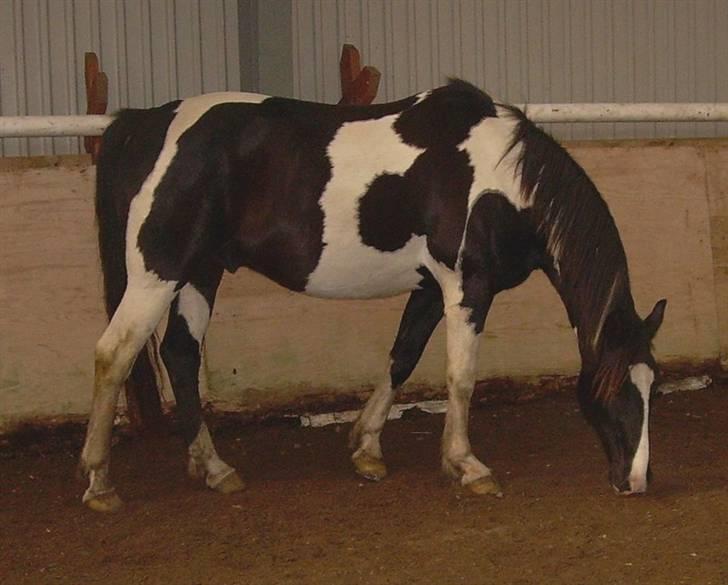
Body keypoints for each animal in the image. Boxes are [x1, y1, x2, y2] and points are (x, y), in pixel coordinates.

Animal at [81, 80, 664, 508]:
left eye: (652, 386)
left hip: (199, 272)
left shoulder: (430, 287)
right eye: (614, 388)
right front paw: (466, 465)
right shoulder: (467, 287)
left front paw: (366, 448)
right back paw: (99, 481)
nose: (635, 481)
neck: (500, 182)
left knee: (180, 354)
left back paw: (214, 467)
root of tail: (143, 123)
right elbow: (460, 376)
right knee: (113, 354)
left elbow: (402, 357)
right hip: (158, 273)